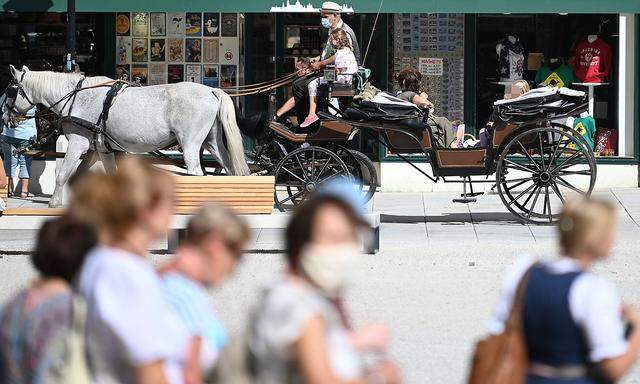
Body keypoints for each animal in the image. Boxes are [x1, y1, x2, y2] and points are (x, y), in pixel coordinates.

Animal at [1, 65, 249, 207]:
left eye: (10, 91)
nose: (5, 118)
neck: (75, 97)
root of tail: (212, 90)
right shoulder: (101, 149)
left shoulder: (78, 144)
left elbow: (63, 175)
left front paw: (54, 203)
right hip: (212, 142)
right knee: (228, 168)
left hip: (190, 144)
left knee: (197, 174)